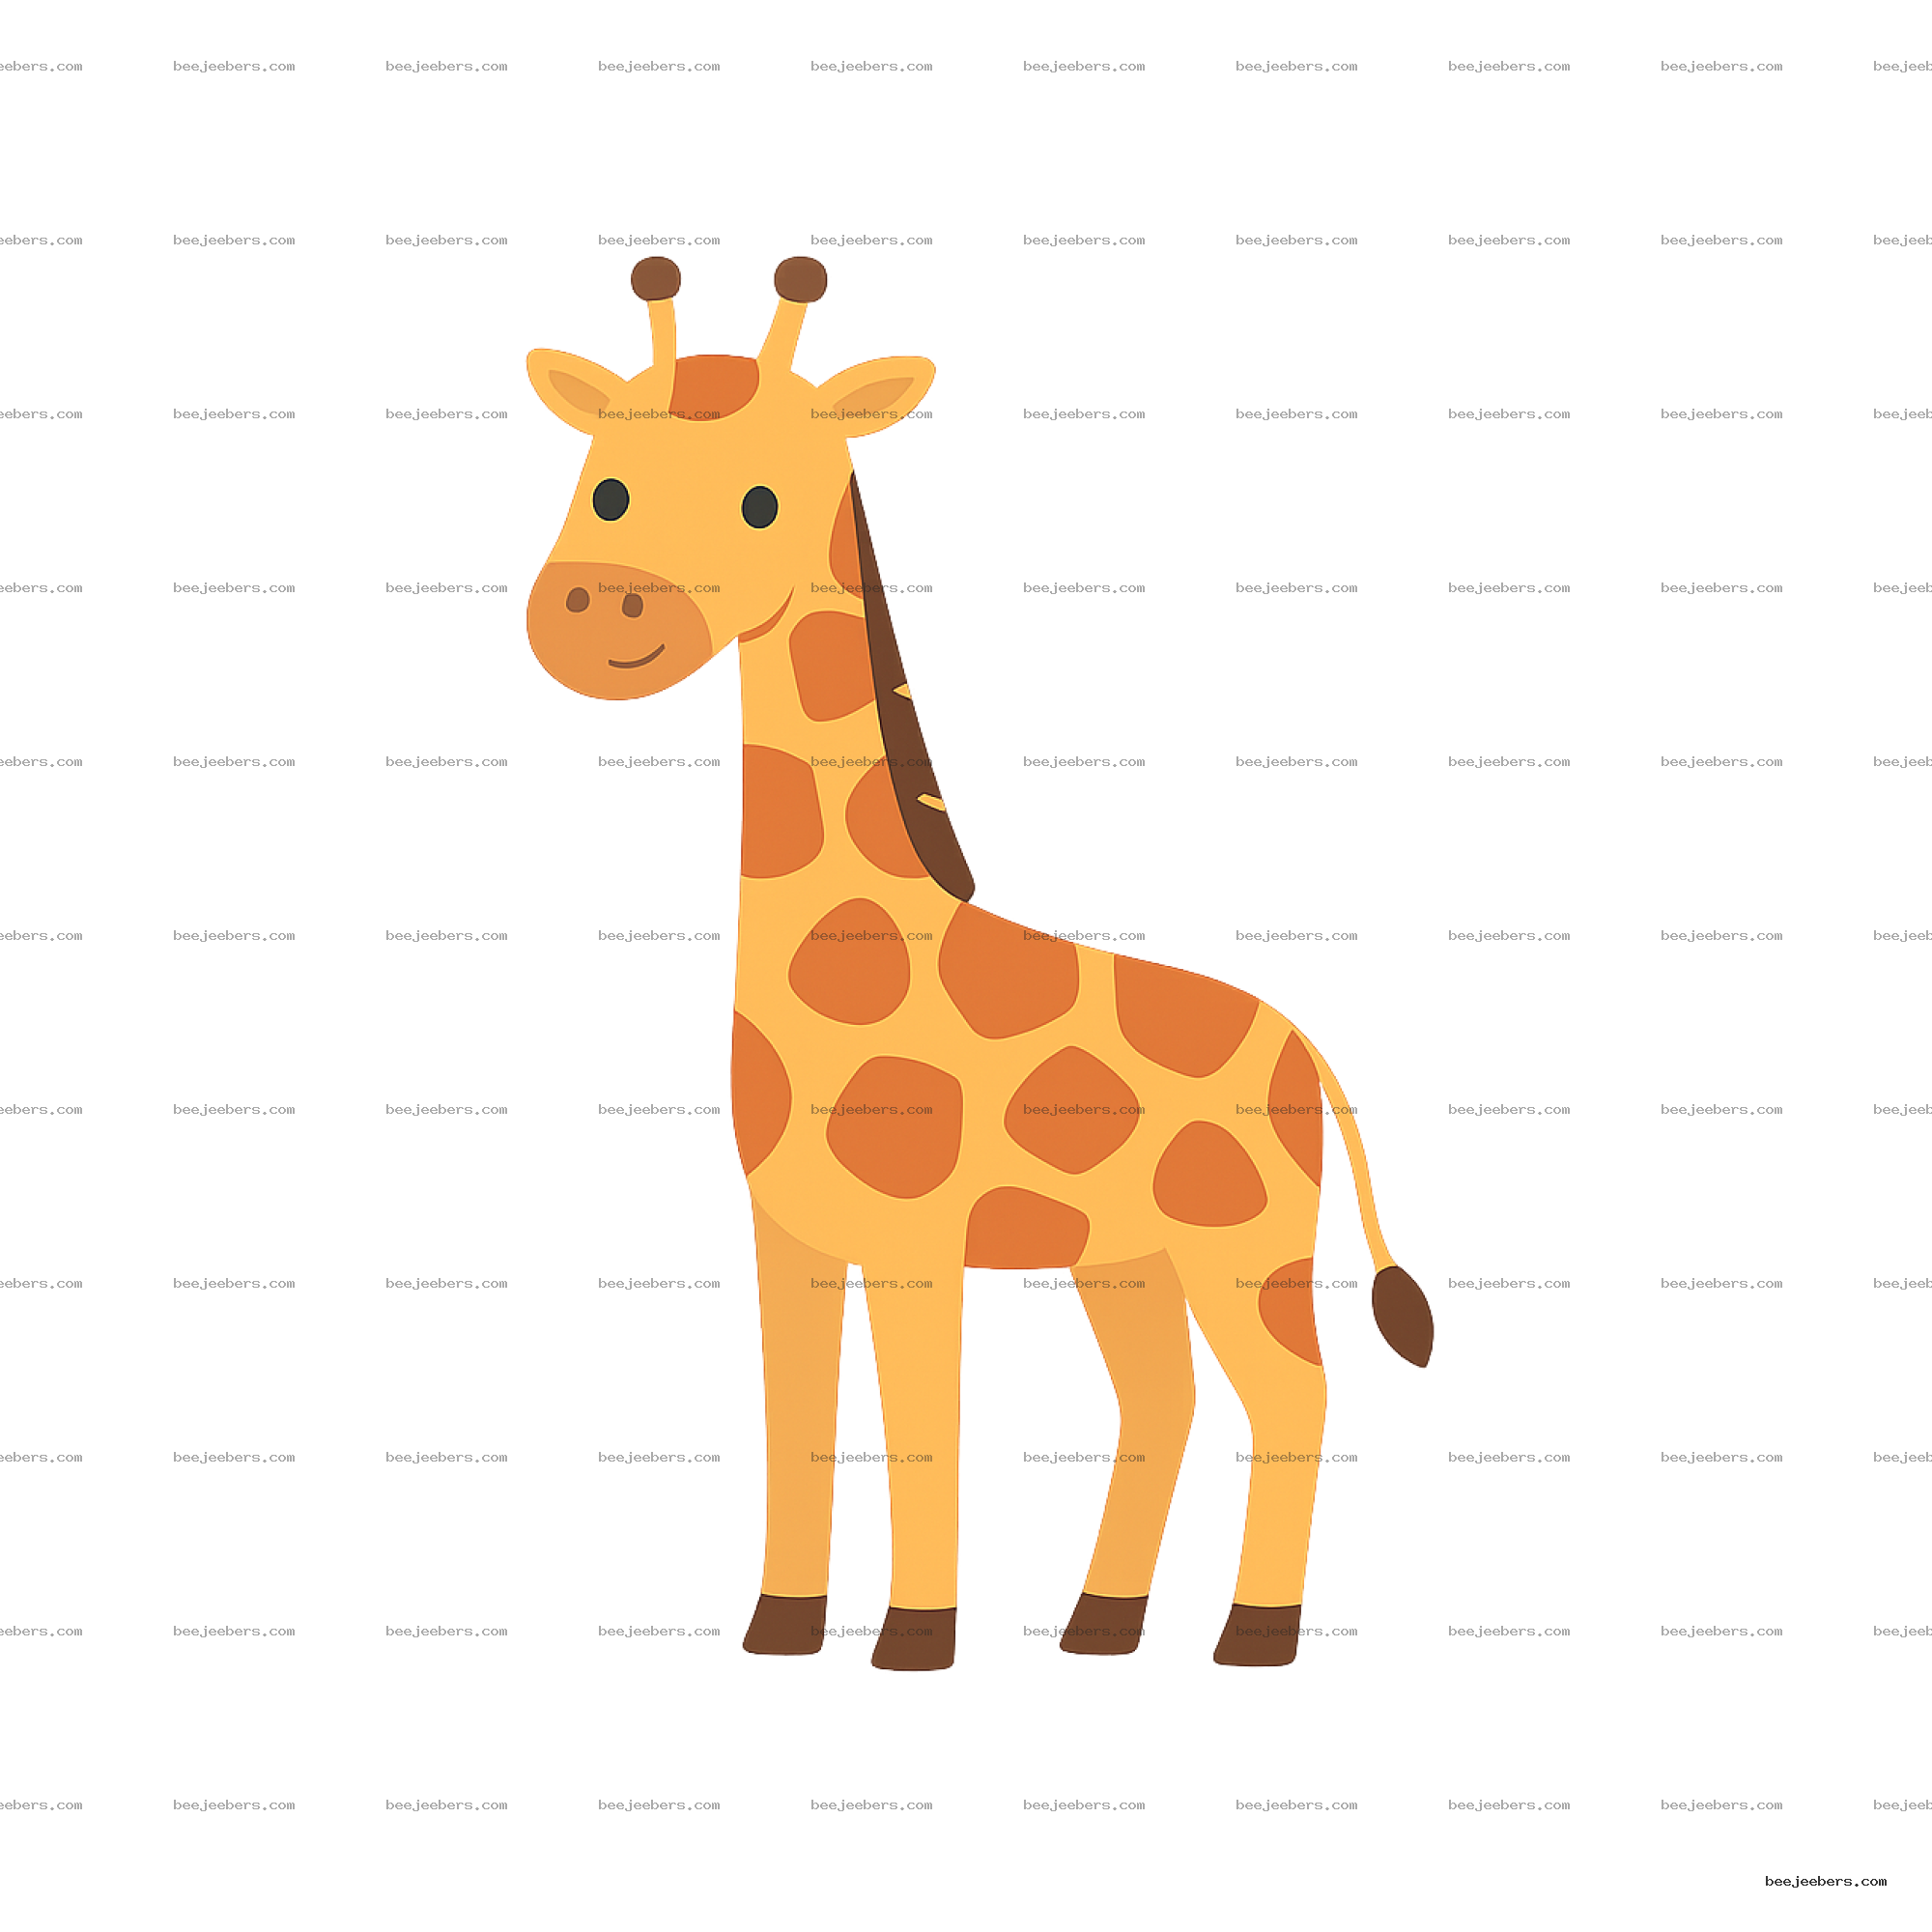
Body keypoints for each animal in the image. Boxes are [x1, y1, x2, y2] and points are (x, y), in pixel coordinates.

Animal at [524, 255, 1434, 1675]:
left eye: (763, 500)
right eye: (606, 484)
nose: (597, 616)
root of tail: (1308, 1052)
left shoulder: (914, 1237)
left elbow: (919, 1426)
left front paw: (913, 1639)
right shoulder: (786, 1228)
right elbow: (797, 1423)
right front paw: (779, 1630)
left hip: (1244, 1243)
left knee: (1294, 1390)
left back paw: (1253, 1635)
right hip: (1125, 1257)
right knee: (1163, 1399)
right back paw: (1099, 1625)